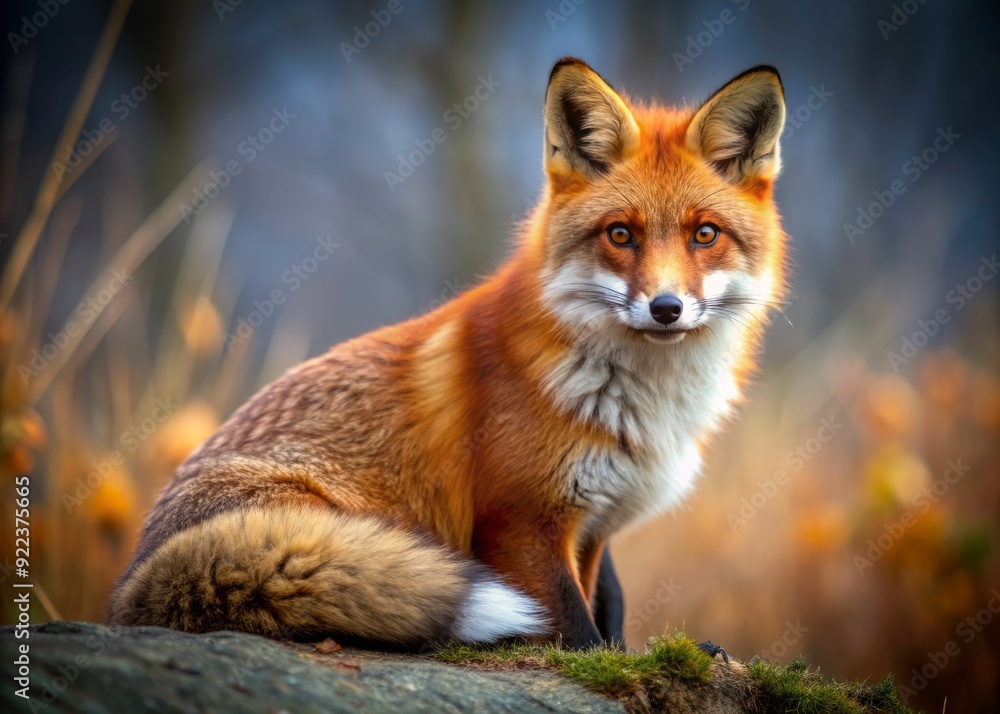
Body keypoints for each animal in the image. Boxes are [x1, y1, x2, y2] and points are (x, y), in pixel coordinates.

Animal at [107, 58, 788, 649]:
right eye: (621, 234)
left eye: (705, 234)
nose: (666, 308)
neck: (644, 403)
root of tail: (132, 590)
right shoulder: (522, 524)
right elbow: (579, 632)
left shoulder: (594, 529)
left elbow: (602, 614)